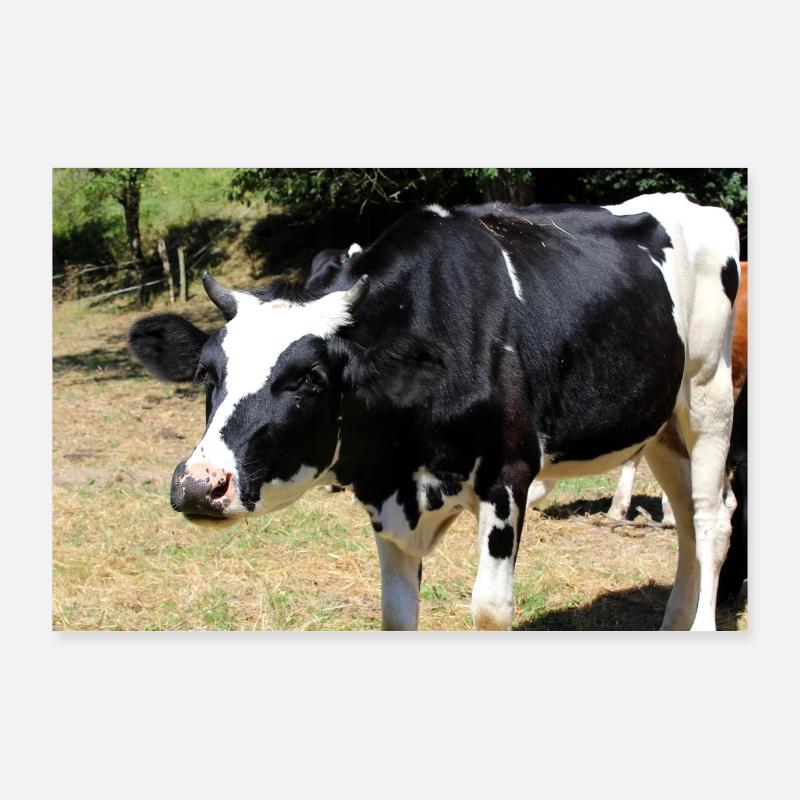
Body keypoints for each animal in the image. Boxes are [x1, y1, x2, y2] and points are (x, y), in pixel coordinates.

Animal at [128, 193, 740, 631]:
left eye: (307, 379)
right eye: (207, 374)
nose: (198, 485)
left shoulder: (508, 474)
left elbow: (491, 609)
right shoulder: (386, 494)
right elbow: (397, 614)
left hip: (709, 395)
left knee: (712, 519)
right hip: (661, 425)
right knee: (687, 517)